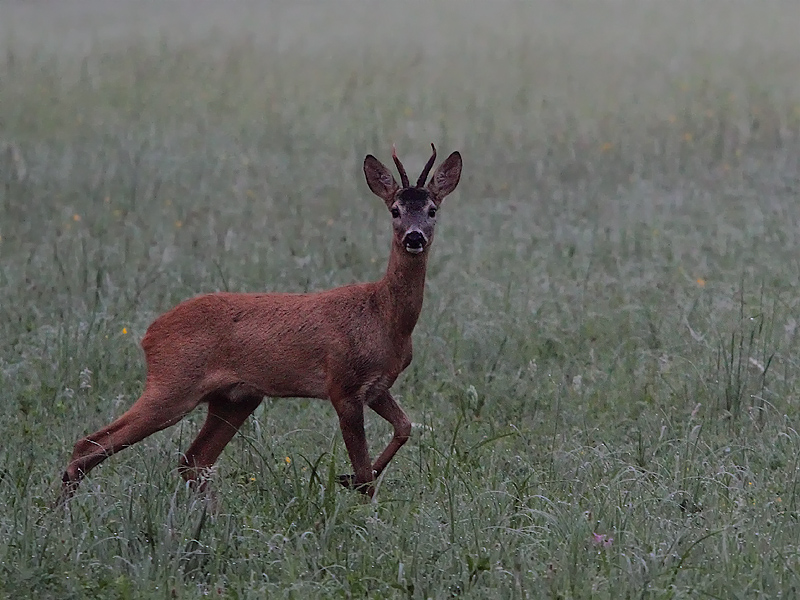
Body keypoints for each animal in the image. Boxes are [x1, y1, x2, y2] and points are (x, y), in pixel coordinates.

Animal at [61, 146, 462, 502]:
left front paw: (348, 480)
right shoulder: (343, 385)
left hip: (235, 398)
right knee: (89, 444)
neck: (383, 317)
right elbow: (365, 474)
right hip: (172, 383)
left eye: (432, 209)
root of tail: (149, 334)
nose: (414, 237)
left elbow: (404, 427)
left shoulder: (376, 387)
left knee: (193, 461)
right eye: (395, 210)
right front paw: (360, 504)